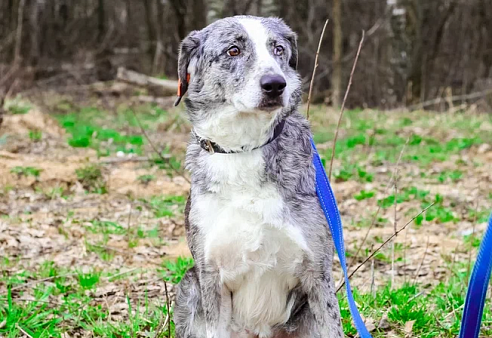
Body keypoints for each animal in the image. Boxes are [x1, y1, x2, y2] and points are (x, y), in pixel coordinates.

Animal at [175, 15, 344, 338]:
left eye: (278, 49)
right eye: (233, 51)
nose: (275, 84)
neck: (244, 148)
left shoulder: (318, 273)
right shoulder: (210, 276)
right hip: (188, 287)